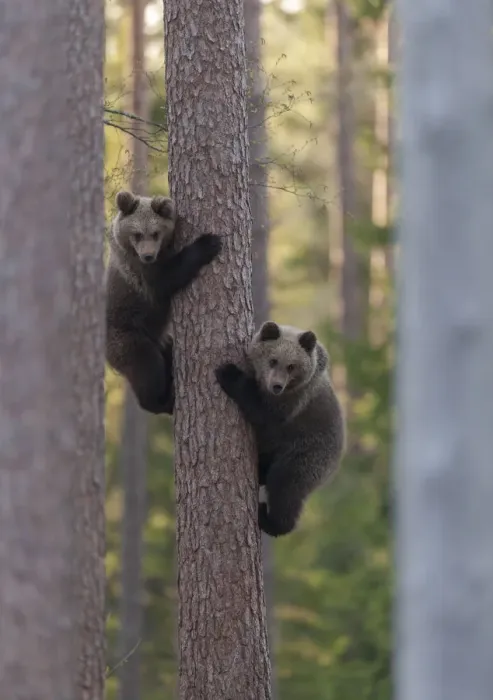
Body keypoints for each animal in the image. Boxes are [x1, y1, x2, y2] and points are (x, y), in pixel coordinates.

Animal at [105, 190, 222, 414]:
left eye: (156, 232)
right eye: (137, 234)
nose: (148, 255)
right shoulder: (138, 271)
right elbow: (166, 279)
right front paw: (208, 243)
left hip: (160, 338)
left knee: (168, 353)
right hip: (126, 337)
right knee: (148, 367)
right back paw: (163, 401)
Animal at [215, 321, 345, 537]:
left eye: (291, 366)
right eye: (273, 360)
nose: (277, 385)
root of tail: (335, 465)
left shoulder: (293, 402)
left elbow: (263, 412)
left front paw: (229, 373)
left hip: (306, 452)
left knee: (284, 485)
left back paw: (270, 519)